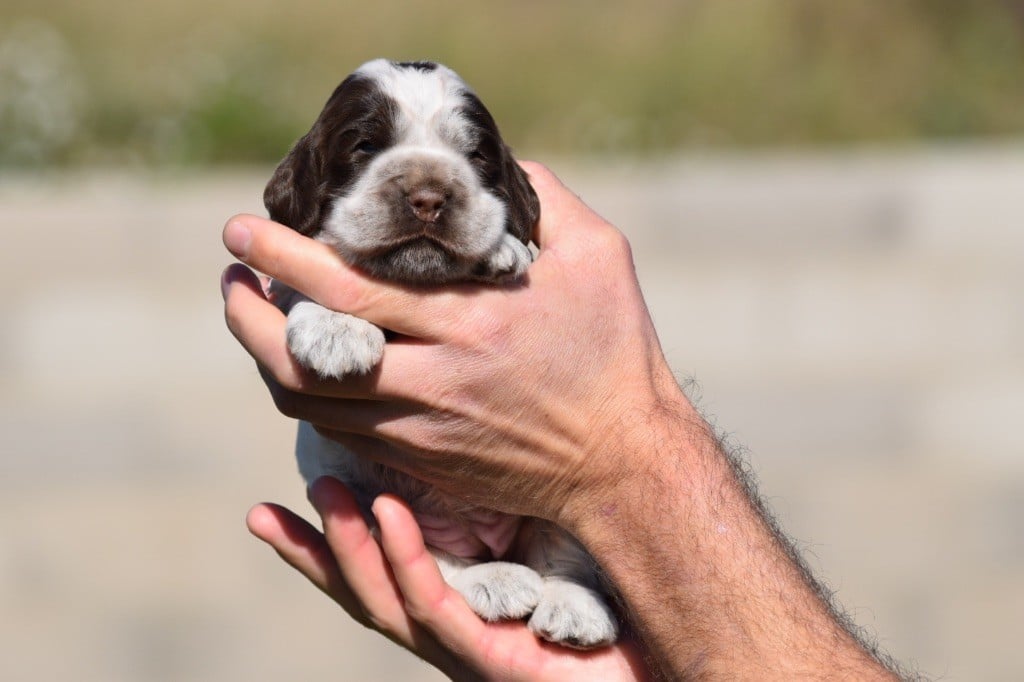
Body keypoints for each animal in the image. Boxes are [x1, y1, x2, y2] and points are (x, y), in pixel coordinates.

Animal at [264, 59, 614, 647]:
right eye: (364, 145)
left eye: (477, 157)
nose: (428, 199)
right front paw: (336, 331)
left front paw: (501, 250)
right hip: (373, 504)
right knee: (435, 557)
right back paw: (493, 580)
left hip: (563, 499)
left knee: (561, 551)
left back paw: (574, 607)